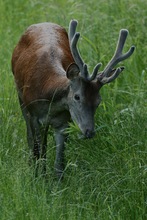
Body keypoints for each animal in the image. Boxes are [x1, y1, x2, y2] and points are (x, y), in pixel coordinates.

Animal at [11, 19, 135, 180]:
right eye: (77, 97)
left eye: (98, 100)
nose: (89, 131)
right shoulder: (33, 114)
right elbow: (39, 151)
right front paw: (38, 177)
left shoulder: (64, 121)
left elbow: (59, 163)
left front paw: (57, 182)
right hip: (21, 98)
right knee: (32, 140)